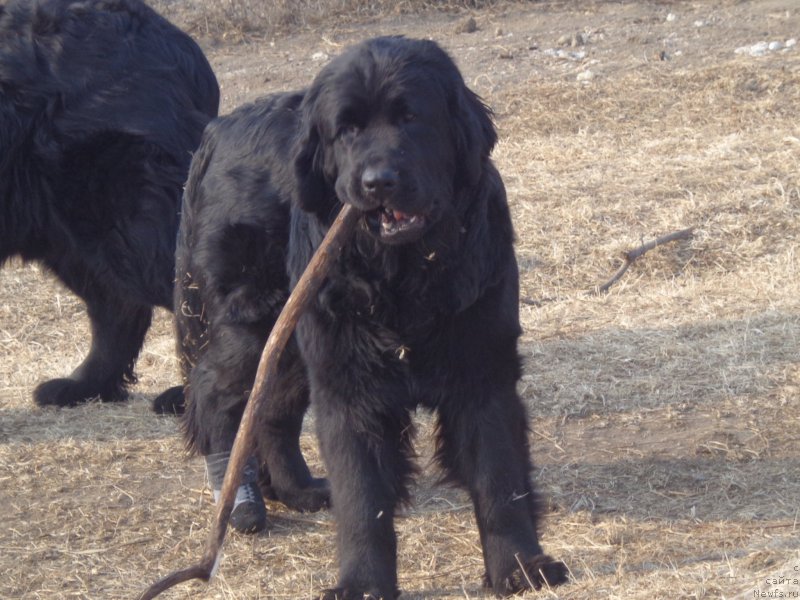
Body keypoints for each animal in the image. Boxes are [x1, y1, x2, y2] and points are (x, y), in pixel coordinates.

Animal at [178, 36, 564, 596]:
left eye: (412, 118)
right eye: (347, 129)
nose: (378, 181)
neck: (405, 274)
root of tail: (218, 128)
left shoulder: (482, 367)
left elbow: (500, 477)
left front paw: (520, 566)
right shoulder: (348, 383)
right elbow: (362, 498)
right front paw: (362, 582)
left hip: (291, 341)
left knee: (271, 411)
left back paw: (297, 490)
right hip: (260, 323)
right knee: (215, 391)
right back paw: (242, 500)